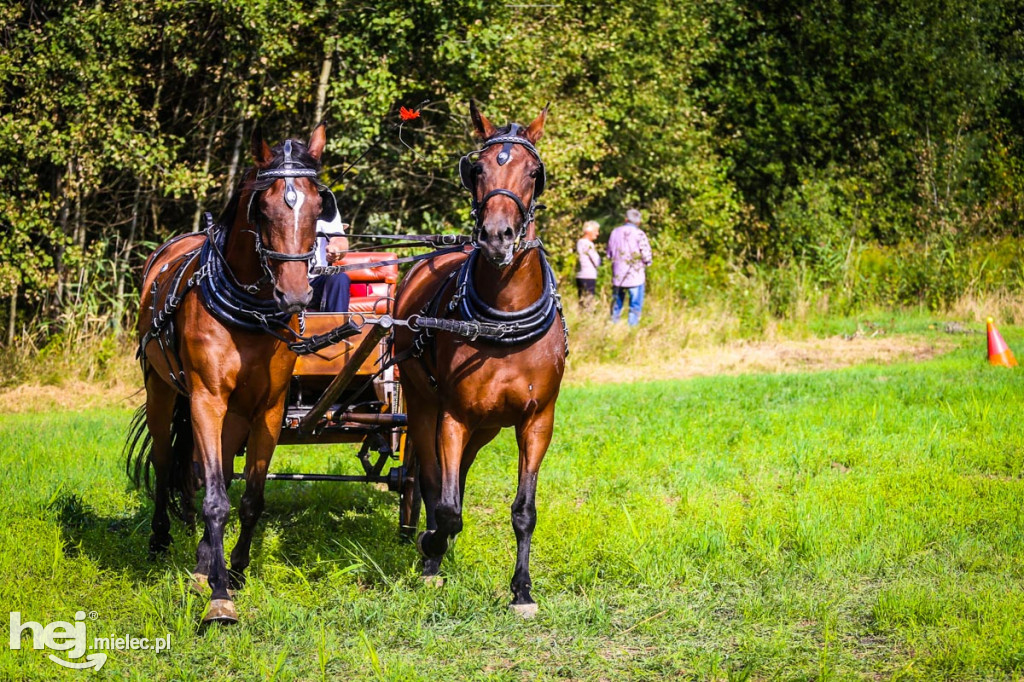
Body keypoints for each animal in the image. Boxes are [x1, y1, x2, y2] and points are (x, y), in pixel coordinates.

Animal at [123, 122, 331, 622]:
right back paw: (161, 538)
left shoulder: (269, 409)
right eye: (264, 207)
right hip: (162, 390)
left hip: (234, 414)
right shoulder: (205, 399)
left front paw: (232, 570)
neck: (248, 315)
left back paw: (202, 561)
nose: (296, 295)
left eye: (318, 205)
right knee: (166, 461)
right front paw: (219, 597)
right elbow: (215, 498)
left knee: (210, 469)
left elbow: (251, 497)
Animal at [393, 102, 569, 614]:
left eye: (534, 172)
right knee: (432, 481)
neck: (503, 318)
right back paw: (431, 551)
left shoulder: (537, 420)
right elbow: (446, 505)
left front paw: (522, 590)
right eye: (479, 169)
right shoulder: (453, 415)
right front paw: (431, 546)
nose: (495, 237)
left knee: (462, 473)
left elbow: (524, 510)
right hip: (423, 404)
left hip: (488, 425)